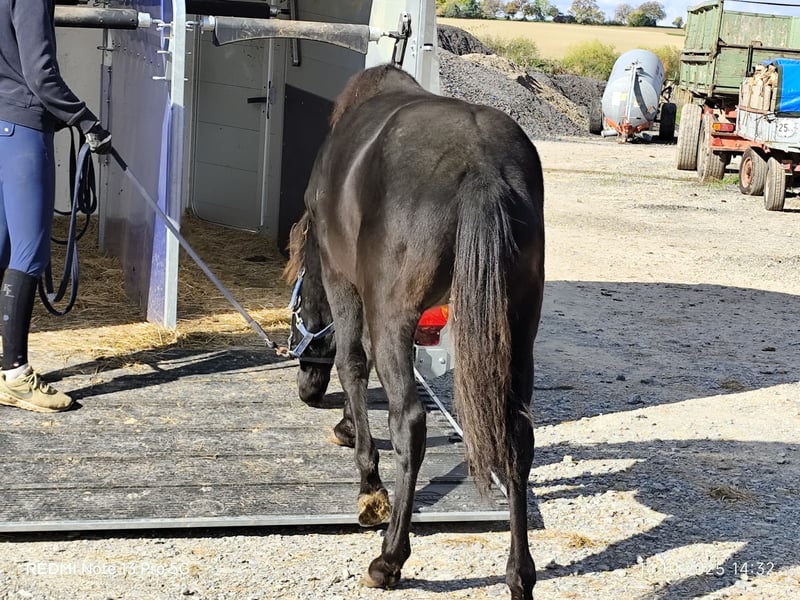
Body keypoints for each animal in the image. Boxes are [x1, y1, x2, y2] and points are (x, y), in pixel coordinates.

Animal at [283, 63, 545, 600]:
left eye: (299, 301)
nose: (306, 388)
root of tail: (481, 165)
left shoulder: (343, 282)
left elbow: (352, 362)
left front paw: (368, 482)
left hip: (395, 317)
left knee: (409, 421)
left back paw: (389, 559)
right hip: (518, 328)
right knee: (519, 436)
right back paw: (519, 576)